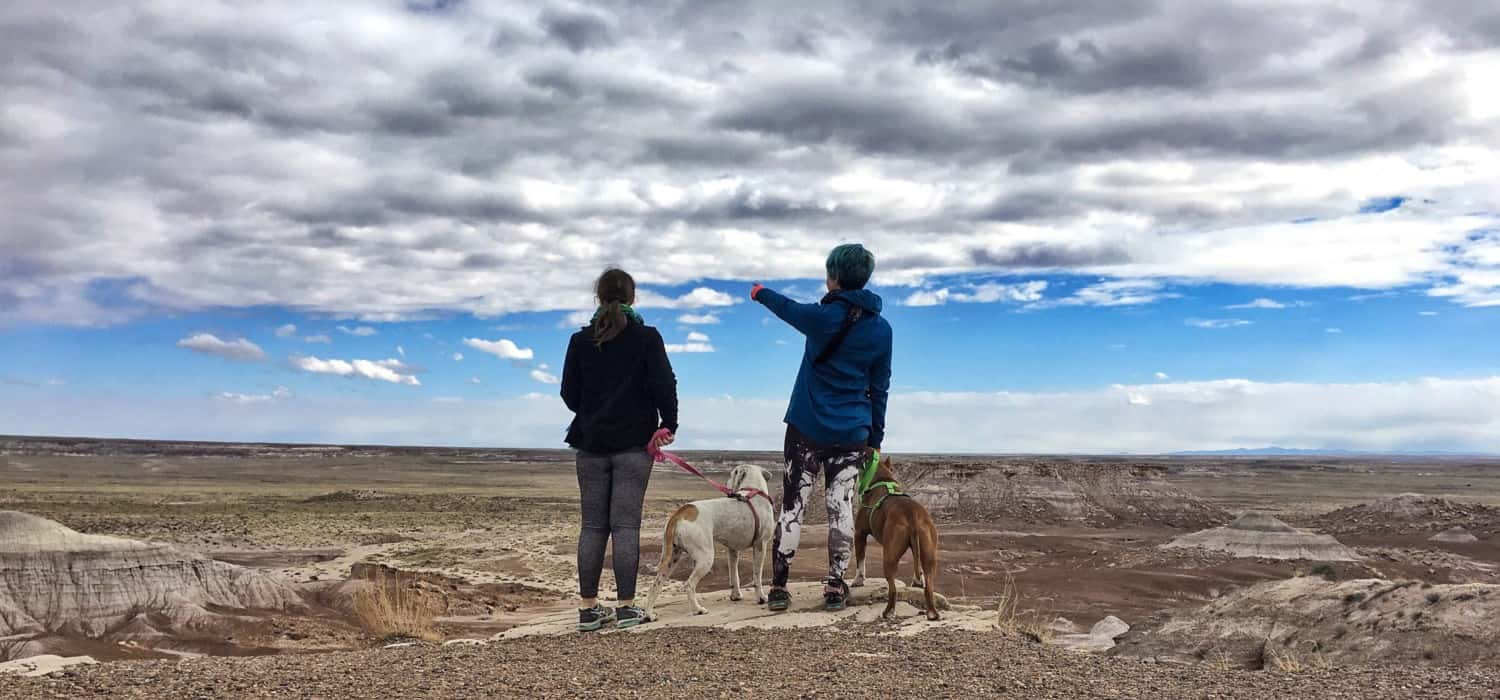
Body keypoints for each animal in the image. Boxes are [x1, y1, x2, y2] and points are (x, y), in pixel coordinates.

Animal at [648, 464, 780, 620]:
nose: (727, 485)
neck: (753, 491)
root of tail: (680, 513)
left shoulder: (732, 550)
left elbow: (734, 576)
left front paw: (735, 596)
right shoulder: (760, 546)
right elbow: (757, 576)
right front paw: (761, 598)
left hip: (671, 557)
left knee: (655, 585)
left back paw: (649, 615)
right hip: (705, 558)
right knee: (688, 585)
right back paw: (698, 609)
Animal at [858, 458, 936, 620]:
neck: (883, 478)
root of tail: (912, 515)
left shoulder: (859, 533)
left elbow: (860, 561)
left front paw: (857, 581)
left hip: (889, 556)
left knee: (892, 589)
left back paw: (888, 612)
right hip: (929, 554)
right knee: (929, 585)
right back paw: (932, 613)